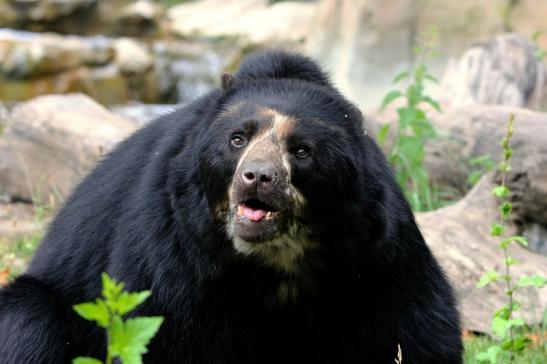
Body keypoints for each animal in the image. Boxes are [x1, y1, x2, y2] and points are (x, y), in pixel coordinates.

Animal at [0, 49, 462, 362]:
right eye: (237, 139)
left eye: (302, 151)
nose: (257, 176)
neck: (275, 257)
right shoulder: (173, 245)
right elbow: (158, 328)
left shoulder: (374, 247)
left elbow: (414, 322)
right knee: (29, 321)